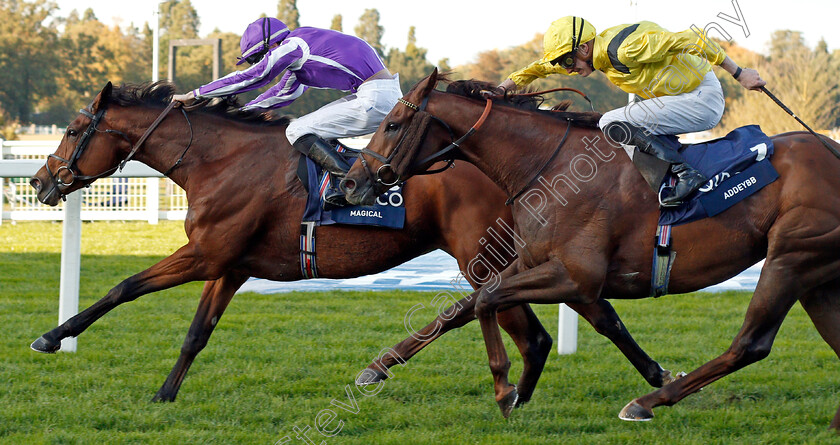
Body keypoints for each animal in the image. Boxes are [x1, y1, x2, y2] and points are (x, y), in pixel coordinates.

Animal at [27, 80, 684, 402]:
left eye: (75, 129)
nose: (38, 180)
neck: (217, 160)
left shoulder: (207, 254)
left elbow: (124, 286)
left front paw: (52, 337)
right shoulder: (231, 263)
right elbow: (196, 333)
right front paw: (165, 393)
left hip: (482, 256)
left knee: (545, 326)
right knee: (574, 318)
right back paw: (646, 378)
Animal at [340, 68, 840, 426]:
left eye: (392, 124)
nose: (350, 183)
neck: (546, 166)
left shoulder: (576, 275)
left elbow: (485, 300)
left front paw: (505, 390)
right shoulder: (531, 261)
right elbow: (463, 307)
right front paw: (378, 367)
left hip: (792, 255)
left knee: (751, 343)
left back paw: (645, 402)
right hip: (817, 275)